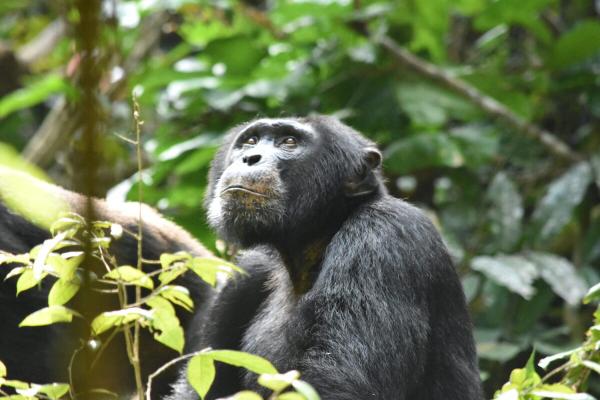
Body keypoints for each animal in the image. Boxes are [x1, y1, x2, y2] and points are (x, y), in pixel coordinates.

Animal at [168, 114, 482, 398]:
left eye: (289, 142)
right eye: (251, 141)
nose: (250, 157)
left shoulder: (383, 236)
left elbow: (340, 380)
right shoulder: (246, 273)